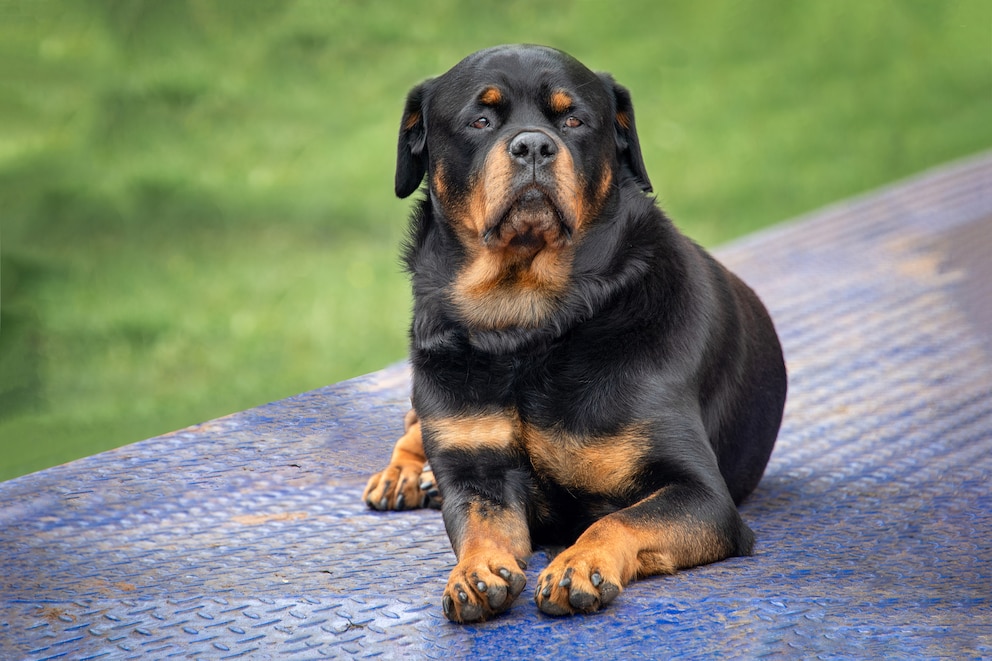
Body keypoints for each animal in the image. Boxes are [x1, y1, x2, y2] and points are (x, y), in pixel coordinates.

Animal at [360, 43, 788, 620]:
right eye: (480, 120)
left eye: (573, 120)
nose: (534, 145)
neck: (526, 324)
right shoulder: (476, 468)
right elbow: (477, 525)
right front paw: (473, 572)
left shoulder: (701, 494)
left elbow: (619, 518)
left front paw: (578, 564)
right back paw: (405, 472)